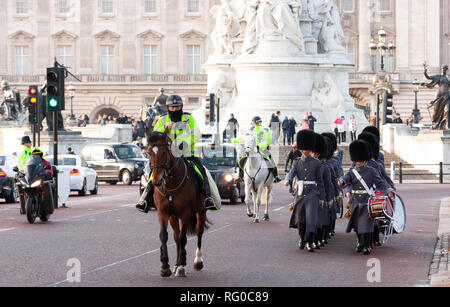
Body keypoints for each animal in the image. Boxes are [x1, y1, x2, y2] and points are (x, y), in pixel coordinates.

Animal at [148, 129, 211, 278]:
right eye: (148, 152)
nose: (157, 181)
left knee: (199, 232)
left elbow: (184, 238)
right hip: (173, 216)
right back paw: (176, 265)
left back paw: (197, 261)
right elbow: (164, 236)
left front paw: (182, 265)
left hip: (201, 211)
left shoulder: (185, 213)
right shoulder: (163, 212)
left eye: (164, 152)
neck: (171, 183)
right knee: (176, 236)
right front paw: (165, 267)